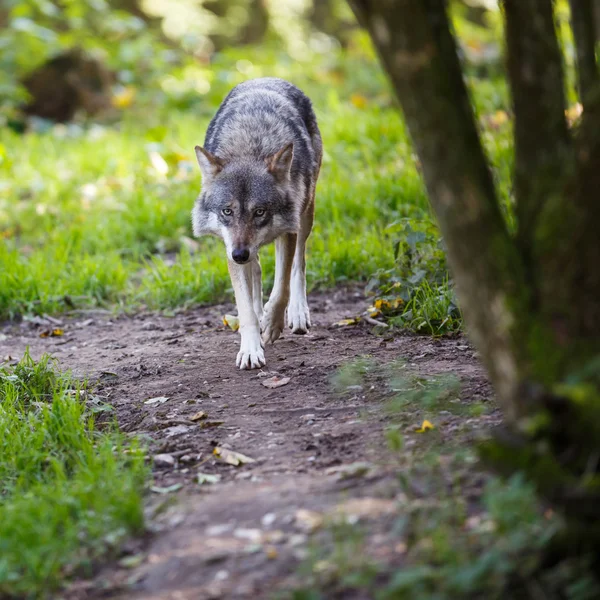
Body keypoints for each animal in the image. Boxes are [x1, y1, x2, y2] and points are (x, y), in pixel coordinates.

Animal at [192, 79, 324, 370]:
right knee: (258, 272)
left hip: (306, 214)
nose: (239, 254)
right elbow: (246, 310)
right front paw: (251, 349)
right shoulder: (230, 249)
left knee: (299, 264)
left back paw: (298, 313)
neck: (249, 146)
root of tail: (267, 78)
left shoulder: (288, 230)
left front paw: (273, 324)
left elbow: (281, 288)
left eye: (260, 212)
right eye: (227, 211)